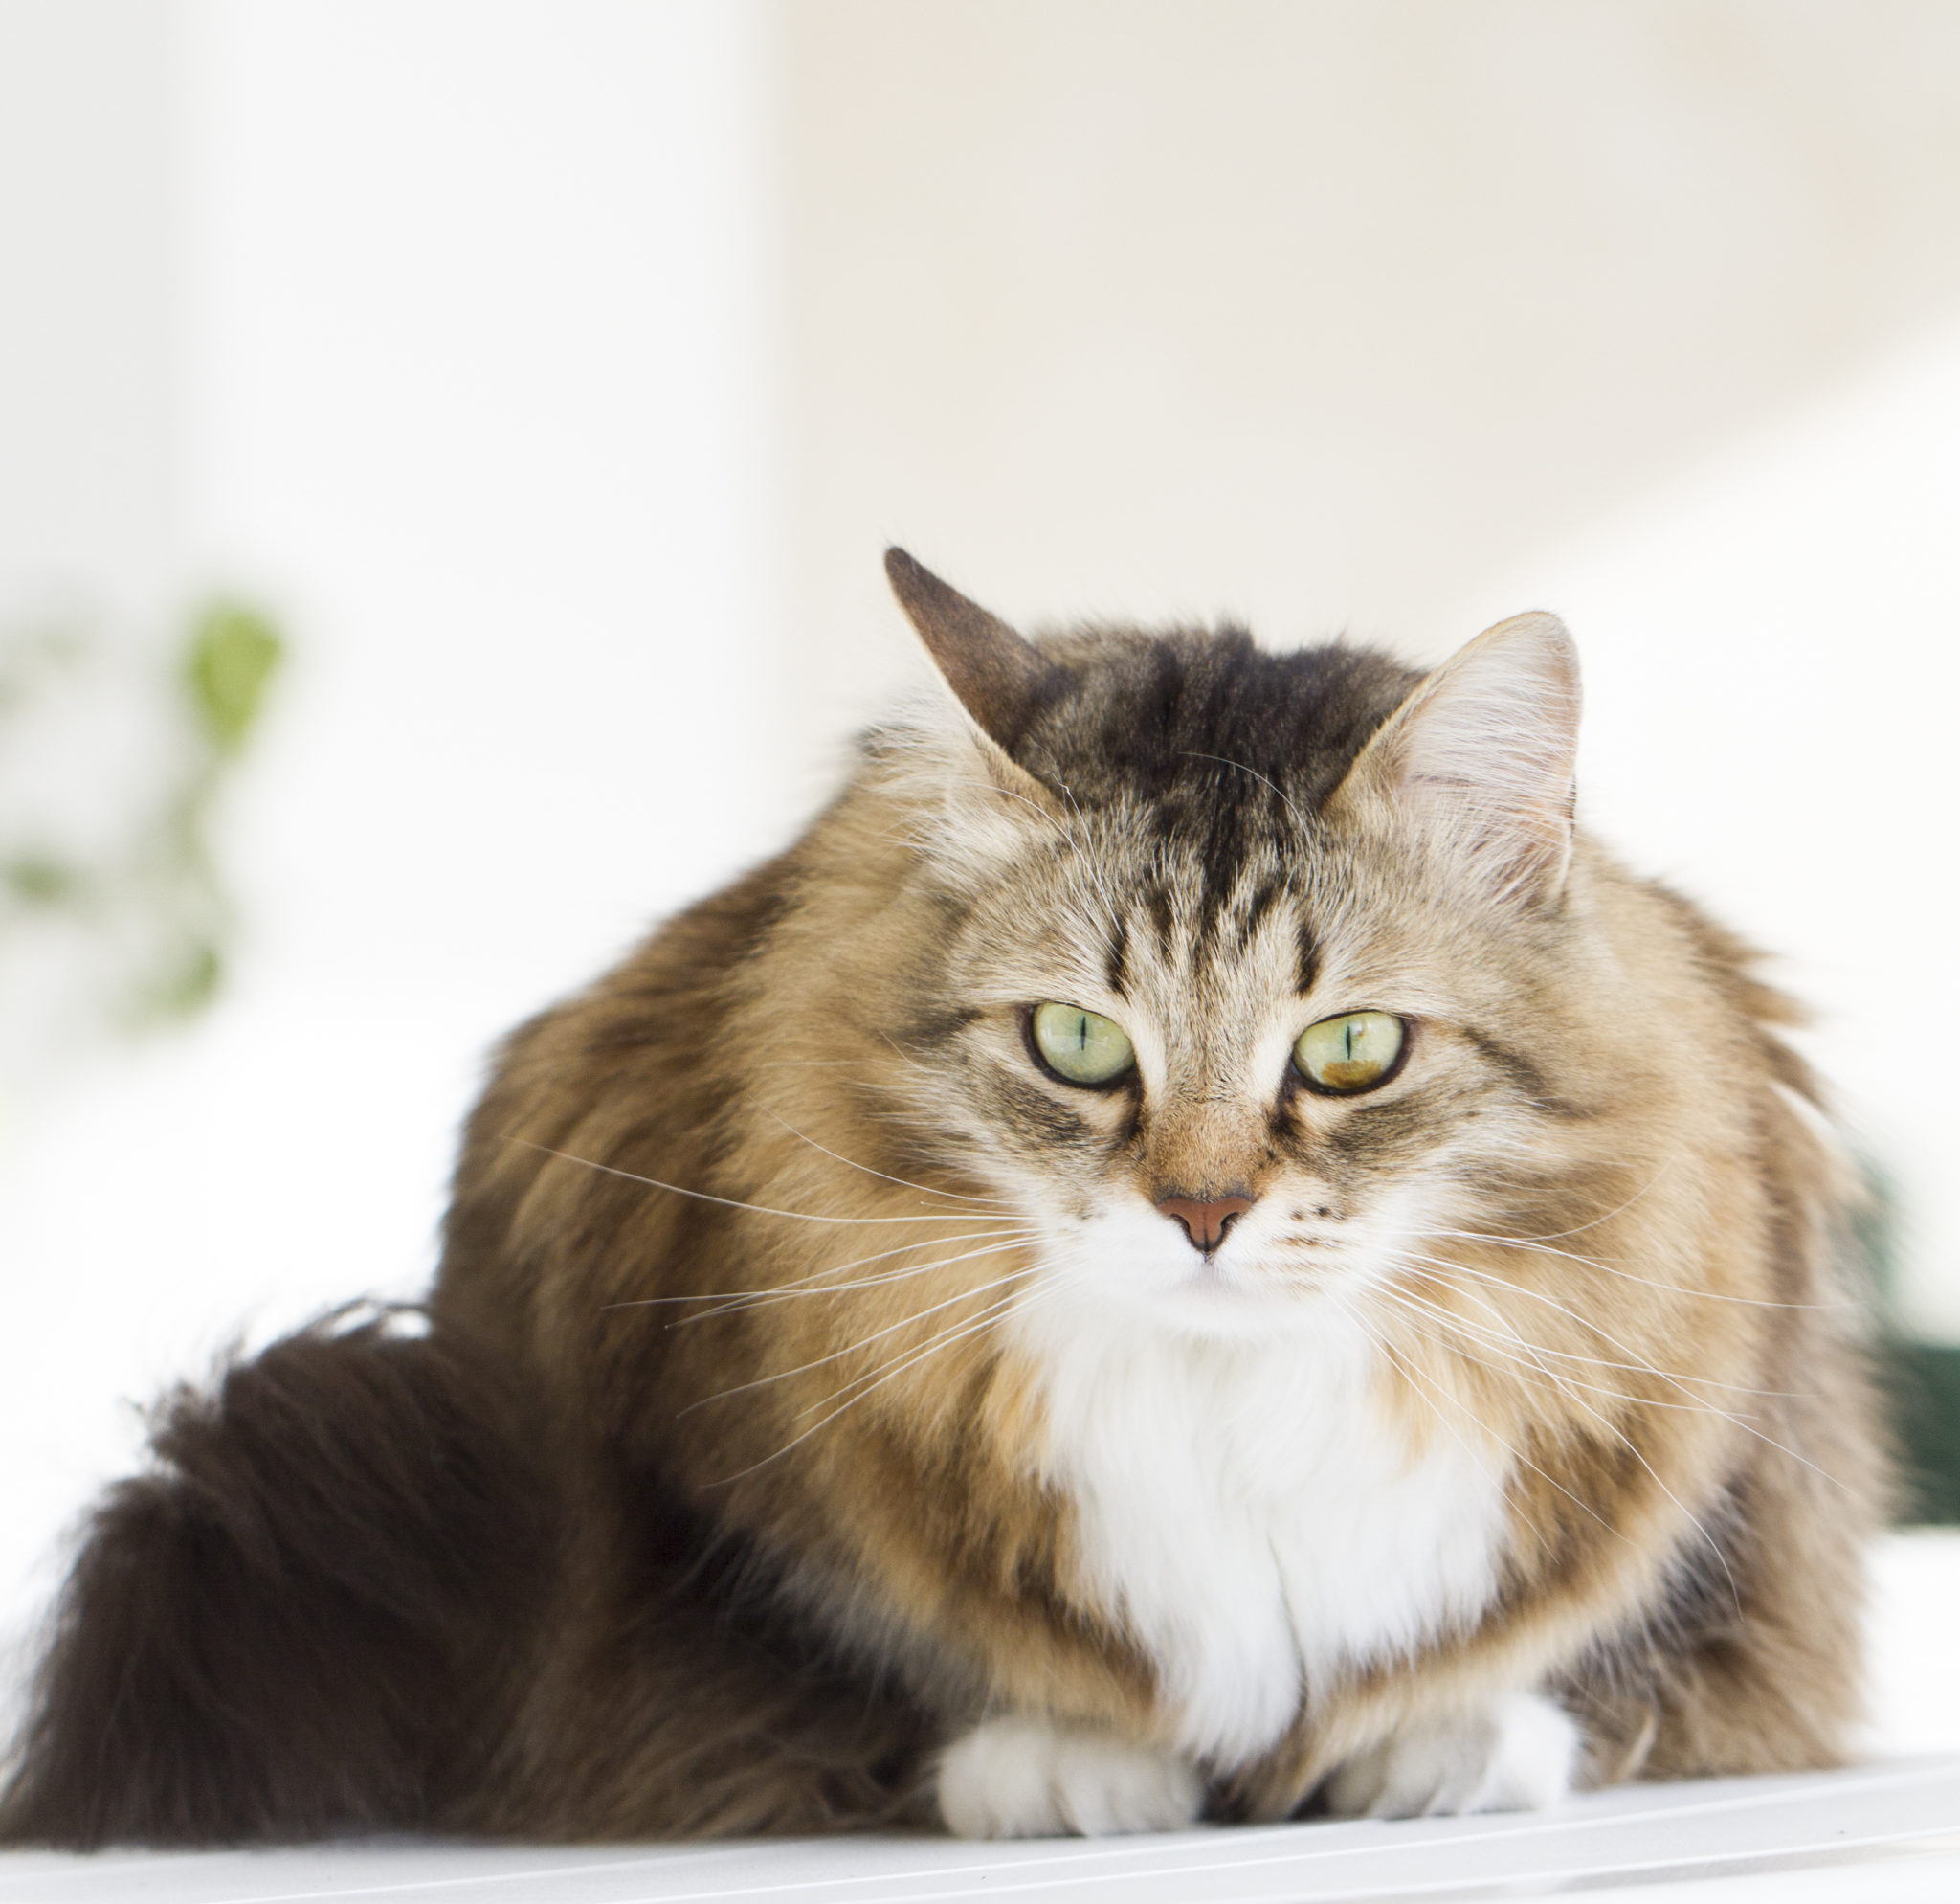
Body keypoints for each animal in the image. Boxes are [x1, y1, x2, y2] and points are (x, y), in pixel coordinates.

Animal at [8, 549, 1889, 1843]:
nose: (1203, 1211)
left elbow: (1587, 1663)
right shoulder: (694, 1491)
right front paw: (1067, 1763)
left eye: (1351, 1049)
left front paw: (1444, 1741)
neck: (1231, 1404)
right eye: (1078, 1041)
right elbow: (864, 1673)